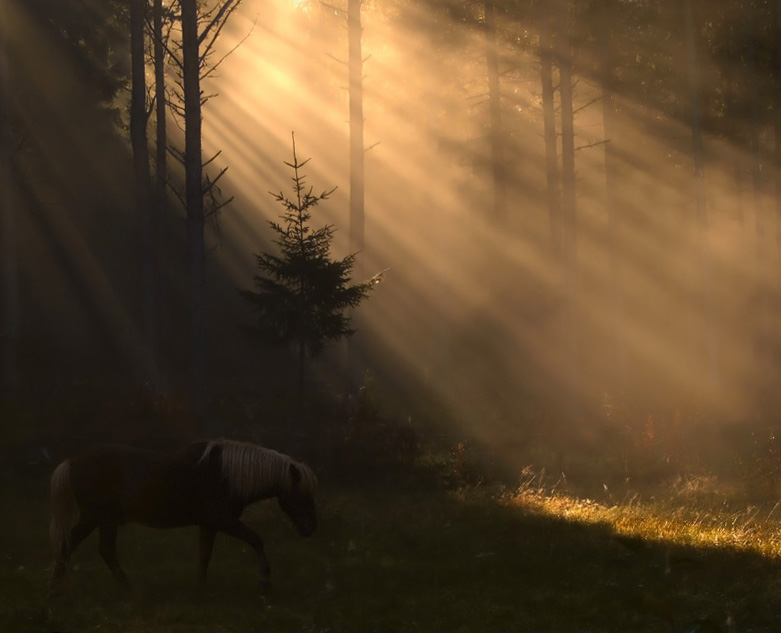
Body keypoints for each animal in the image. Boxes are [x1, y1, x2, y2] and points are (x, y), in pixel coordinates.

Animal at [48, 440, 316, 592]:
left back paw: (57, 586)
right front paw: (264, 579)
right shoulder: (224, 521)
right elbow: (256, 540)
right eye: (300, 495)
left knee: (69, 544)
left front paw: (199, 587)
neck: (225, 475)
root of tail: (73, 461)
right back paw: (126, 587)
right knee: (104, 550)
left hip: (92, 519)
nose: (310, 528)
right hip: (103, 519)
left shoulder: (209, 525)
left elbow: (204, 555)